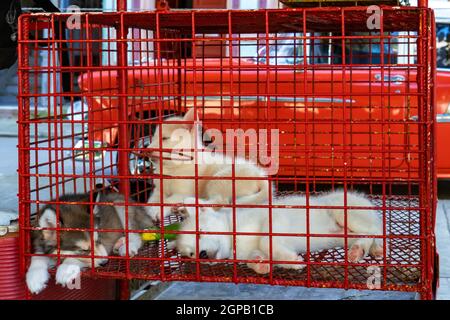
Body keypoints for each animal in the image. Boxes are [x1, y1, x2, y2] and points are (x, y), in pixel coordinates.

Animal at [25, 192, 153, 296]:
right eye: (84, 250)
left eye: (98, 240)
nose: (105, 263)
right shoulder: (39, 243)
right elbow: (37, 256)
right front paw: (35, 276)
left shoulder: (105, 244)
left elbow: (76, 259)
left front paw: (65, 269)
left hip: (120, 205)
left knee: (137, 236)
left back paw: (127, 246)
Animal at [176, 191, 384, 274]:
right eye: (191, 254)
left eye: (200, 232)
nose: (202, 254)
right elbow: (258, 255)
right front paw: (260, 265)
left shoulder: (274, 220)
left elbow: (266, 242)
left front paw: (292, 260)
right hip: (342, 236)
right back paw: (365, 250)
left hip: (344, 213)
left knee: (374, 230)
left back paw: (363, 249)